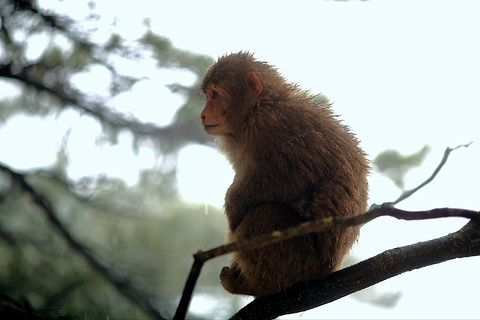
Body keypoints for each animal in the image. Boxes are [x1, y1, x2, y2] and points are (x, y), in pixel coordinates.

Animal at [199, 51, 368, 296]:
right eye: (208, 95)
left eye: (214, 95)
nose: (202, 115)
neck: (258, 107)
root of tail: (329, 268)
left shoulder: (273, 125)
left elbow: (291, 178)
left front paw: (233, 206)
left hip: (301, 258)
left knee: (264, 215)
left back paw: (255, 286)